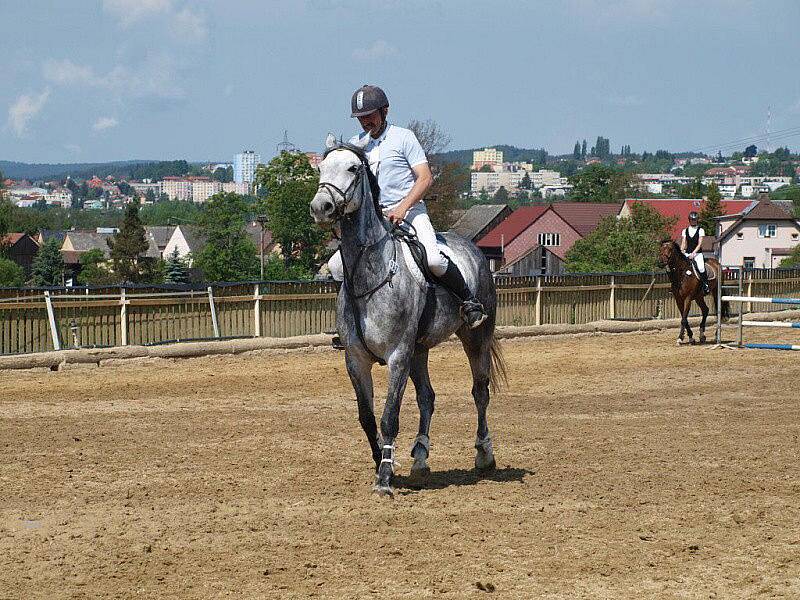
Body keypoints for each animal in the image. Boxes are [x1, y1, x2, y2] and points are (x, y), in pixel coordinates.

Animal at [310, 135, 504, 496]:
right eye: (321, 167)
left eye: (353, 168)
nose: (320, 207)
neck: (370, 276)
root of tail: (473, 249)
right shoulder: (356, 359)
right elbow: (367, 417)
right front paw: (382, 462)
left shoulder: (398, 355)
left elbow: (389, 417)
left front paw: (385, 478)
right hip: (420, 350)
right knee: (427, 397)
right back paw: (420, 458)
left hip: (474, 338)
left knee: (480, 391)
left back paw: (484, 454)